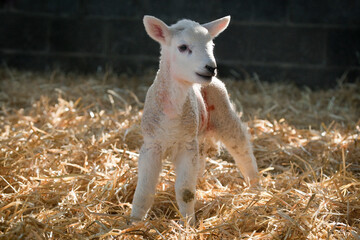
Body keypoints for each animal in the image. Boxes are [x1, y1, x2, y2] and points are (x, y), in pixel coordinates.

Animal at [131, 15, 260, 224]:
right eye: (183, 47)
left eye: (211, 45)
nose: (211, 67)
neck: (173, 110)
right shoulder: (152, 145)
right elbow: (144, 190)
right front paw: (134, 222)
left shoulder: (186, 145)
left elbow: (185, 191)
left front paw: (188, 224)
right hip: (198, 134)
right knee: (201, 159)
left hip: (223, 112)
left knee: (242, 149)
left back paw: (256, 186)